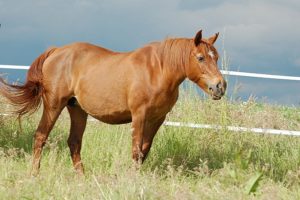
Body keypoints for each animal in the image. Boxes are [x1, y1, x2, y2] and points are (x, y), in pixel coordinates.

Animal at [0, 29, 225, 175]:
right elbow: (136, 150)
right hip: (54, 105)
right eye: (200, 58)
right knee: (40, 136)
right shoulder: (139, 115)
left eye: (216, 57)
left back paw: (82, 177)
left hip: (77, 109)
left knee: (74, 142)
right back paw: (34, 174)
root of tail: (56, 51)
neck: (158, 70)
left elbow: (144, 151)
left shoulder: (157, 119)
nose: (220, 86)